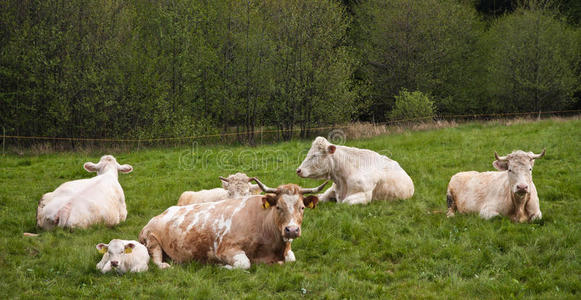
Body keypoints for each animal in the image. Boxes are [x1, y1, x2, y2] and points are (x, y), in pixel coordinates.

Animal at [137, 178, 326, 270]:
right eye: (278, 206)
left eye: (302, 207)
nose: (291, 230)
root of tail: (162, 213)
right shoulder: (225, 249)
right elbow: (245, 264)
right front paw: (222, 266)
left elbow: (291, 259)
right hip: (152, 239)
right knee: (157, 261)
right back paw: (164, 264)